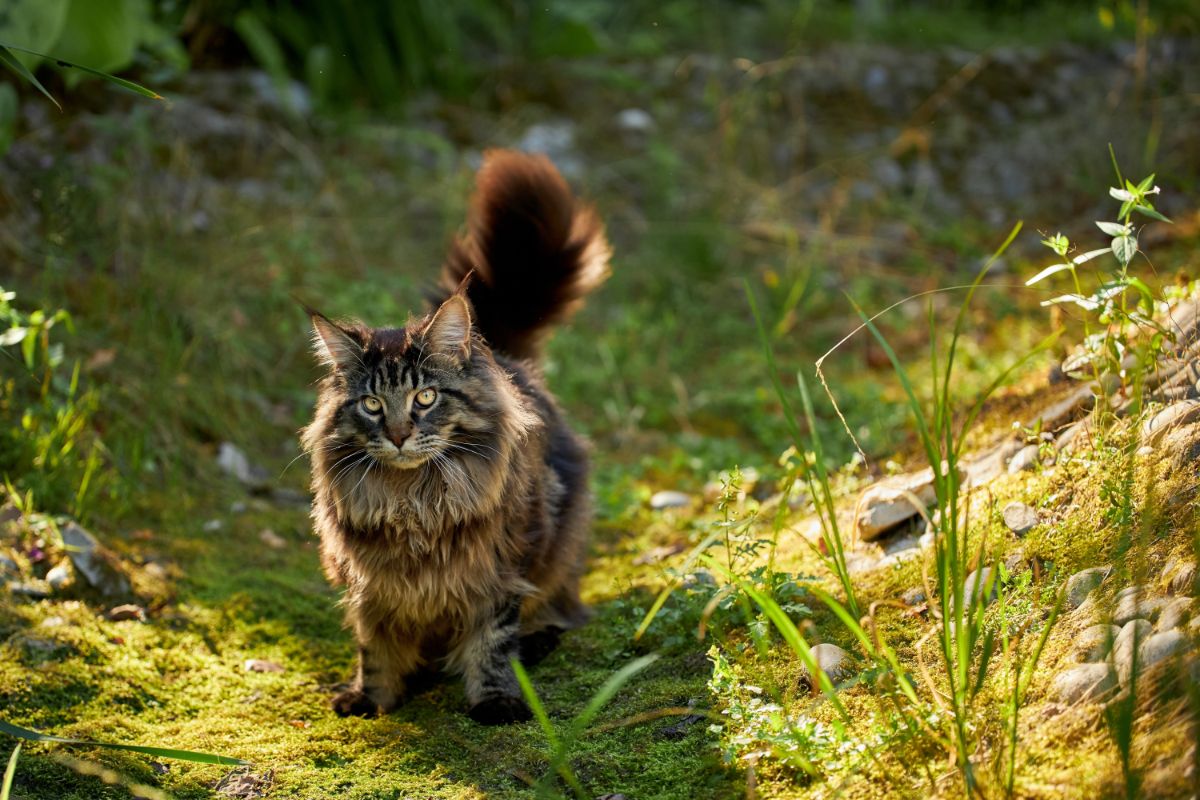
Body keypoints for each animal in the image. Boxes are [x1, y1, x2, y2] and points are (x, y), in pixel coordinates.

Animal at [300, 149, 609, 724]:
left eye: (425, 398)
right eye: (372, 405)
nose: (399, 435)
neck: (414, 504)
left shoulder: (501, 569)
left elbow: (493, 641)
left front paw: (495, 700)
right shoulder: (367, 584)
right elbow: (374, 646)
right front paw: (373, 697)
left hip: (562, 543)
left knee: (557, 608)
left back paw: (537, 642)